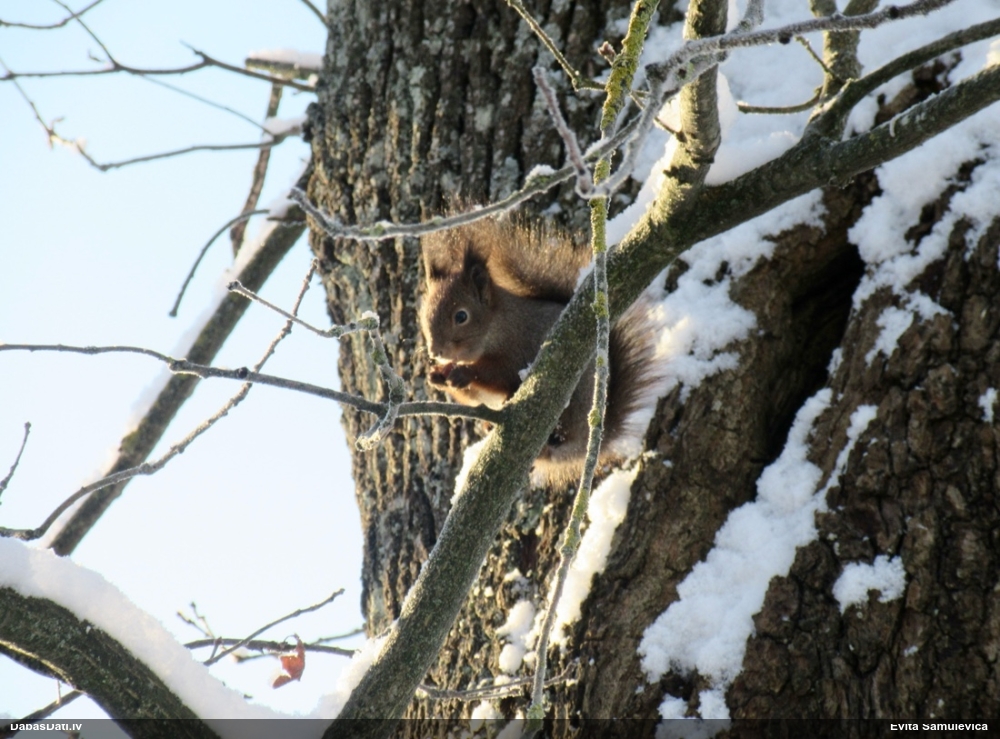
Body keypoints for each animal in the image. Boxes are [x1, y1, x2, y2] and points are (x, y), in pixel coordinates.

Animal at [419, 216, 658, 484]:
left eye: (461, 316)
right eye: (424, 312)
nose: (435, 351)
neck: (497, 325)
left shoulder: (515, 349)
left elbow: (499, 374)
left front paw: (462, 373)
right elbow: (471, 395)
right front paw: (438, 375)